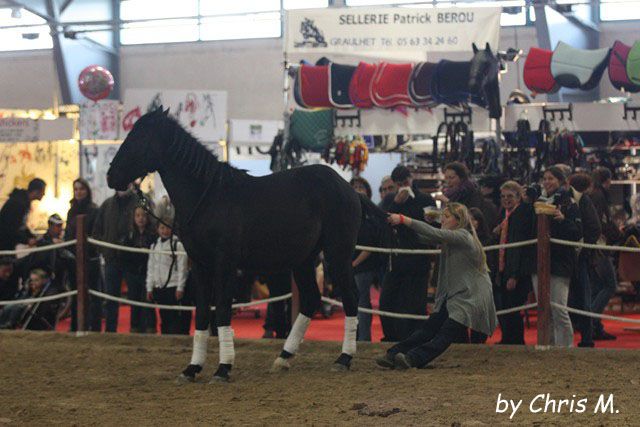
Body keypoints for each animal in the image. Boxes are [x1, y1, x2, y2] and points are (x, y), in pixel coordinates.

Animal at [106, 107, 387, 382]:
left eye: (139, 138)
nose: (111, 176)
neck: (209, 198)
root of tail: (350, 190)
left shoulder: (225, 264)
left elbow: (221, 309)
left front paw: (223, 368)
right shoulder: (199, 264)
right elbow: (202, 312)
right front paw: (192, 368)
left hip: (337, 254)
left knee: (350, 297)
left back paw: (344, 358)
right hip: (304, 259)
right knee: (310, 299)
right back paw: (283, 358)